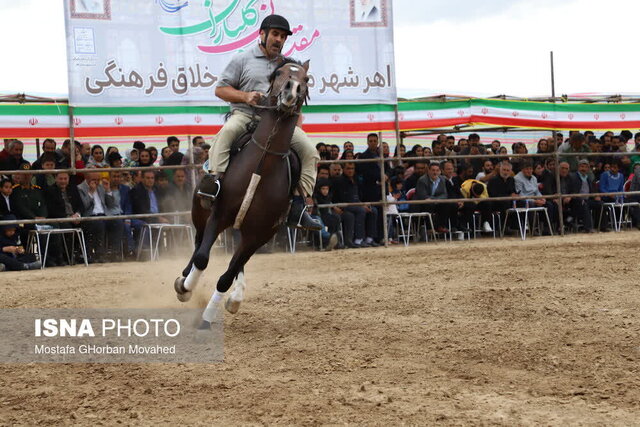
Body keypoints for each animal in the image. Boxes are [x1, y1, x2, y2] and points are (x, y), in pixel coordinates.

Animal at [171, 57, 308, 328]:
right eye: (278, 73)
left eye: (306, 79)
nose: (292, 90)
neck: (262, 163)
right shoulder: (219, 215)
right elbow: (202, 258)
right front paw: (186, 287)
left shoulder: (259, 234)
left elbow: (227, 275)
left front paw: (208, 318)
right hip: (200, 213)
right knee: (198, 244)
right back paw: (185, 280)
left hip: (244, 230)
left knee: (237, 262)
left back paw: (235, 297)